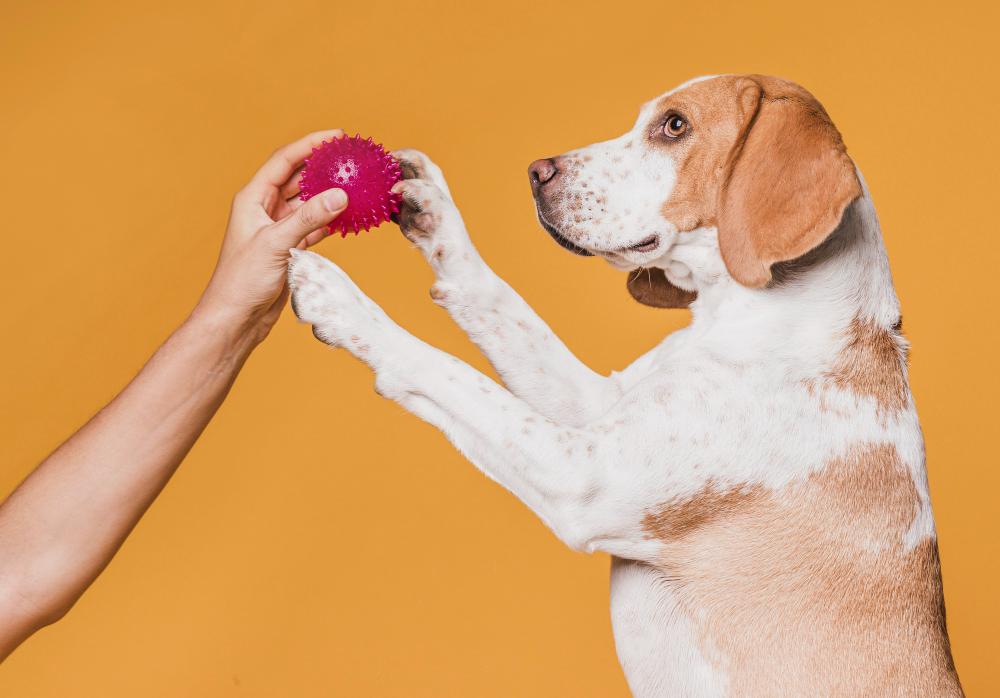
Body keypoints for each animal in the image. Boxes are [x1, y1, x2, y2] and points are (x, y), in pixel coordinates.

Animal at [290, 73, 960, 692]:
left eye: (674, 126)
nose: (536, 171)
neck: (756, 317)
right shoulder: (595, 403)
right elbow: (496, 302)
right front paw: (433, 211)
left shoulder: (582, 477)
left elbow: (444, 371)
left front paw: (342, 302)